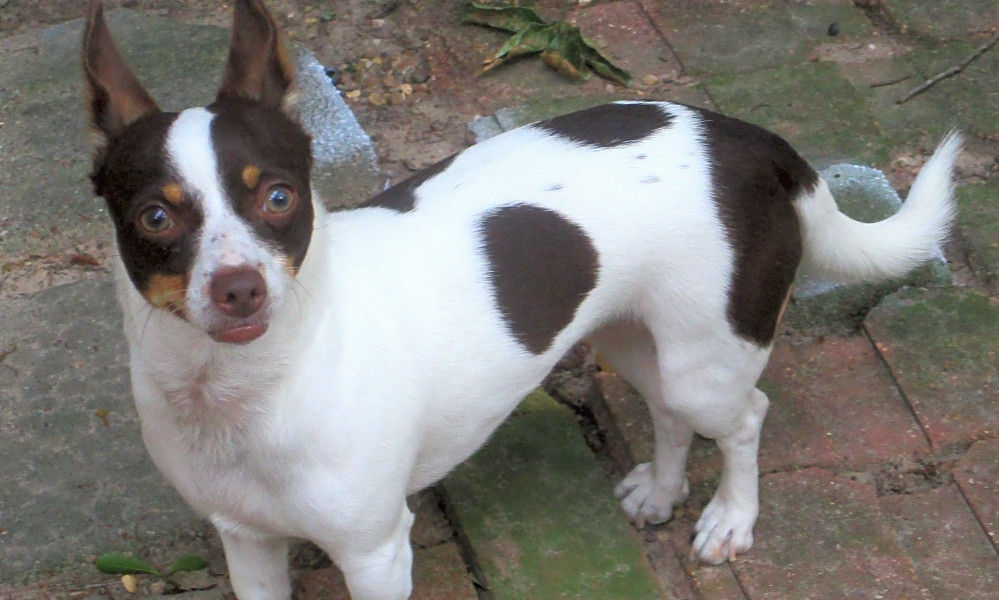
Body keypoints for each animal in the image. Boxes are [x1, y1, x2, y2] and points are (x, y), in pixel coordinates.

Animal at [84, 1, 960, 600]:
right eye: (154, 218)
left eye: (277, 198)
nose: (239, 287)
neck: (244, 392)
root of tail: (751, 140)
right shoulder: (247, 545)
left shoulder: (376, 553)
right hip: (636, 340)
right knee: (671, 413)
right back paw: (662, 491)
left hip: (708, 359)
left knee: (745, 417)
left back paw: (729, 518)